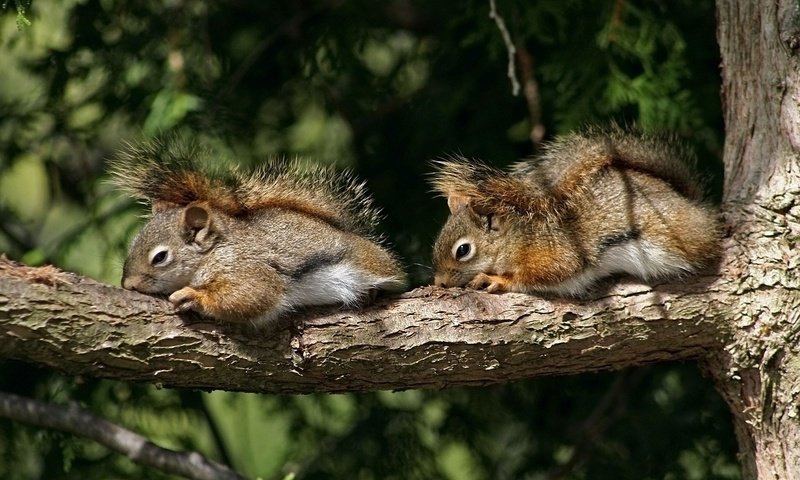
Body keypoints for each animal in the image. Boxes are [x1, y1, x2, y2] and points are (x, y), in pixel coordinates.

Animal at [109, 138, 406, 326]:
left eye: (160, 257)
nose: (128, 285)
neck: (214, 251)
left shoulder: (247, 267)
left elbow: (254, 294)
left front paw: (193, 296)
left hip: (370, 264)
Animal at [434, 125, 720, 294]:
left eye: (463, 250)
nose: (440, 283)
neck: (517, 236)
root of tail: (692, 203)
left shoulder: (554, 252)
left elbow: (547, 274)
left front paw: (497, 280)